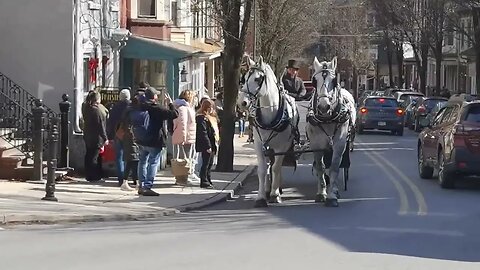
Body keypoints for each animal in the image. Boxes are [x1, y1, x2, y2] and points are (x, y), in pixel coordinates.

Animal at [237, 55, 298, 207]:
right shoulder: (259, 144)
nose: (242, 102)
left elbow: (276, 168)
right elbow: (262, 169)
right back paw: (267, 189)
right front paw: (261, 197)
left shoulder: (282, 146)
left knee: (276, 166)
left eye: (258, 79)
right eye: (244, 78)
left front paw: (275, 194)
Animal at [308, 56, 356, 207]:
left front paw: (331, 196)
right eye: (314, 80)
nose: (324, 107)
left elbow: (335, 166)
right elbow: (321, 167)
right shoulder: (316, 145)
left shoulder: (340, 144)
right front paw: (321, 193)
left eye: (334, 81)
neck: (327, 119)